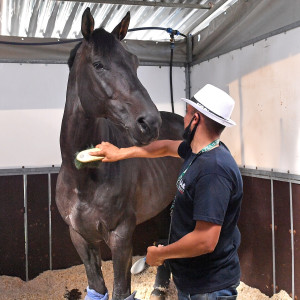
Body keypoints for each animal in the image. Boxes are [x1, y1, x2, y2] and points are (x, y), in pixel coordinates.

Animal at [55, 7, 184, 300]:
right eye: (98, 64)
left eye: (135, 62)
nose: (150, 123)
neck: (84, 179)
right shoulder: (80, 237)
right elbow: (99, 287)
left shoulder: (121, 235)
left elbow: (120, 290)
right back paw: (158, 289)